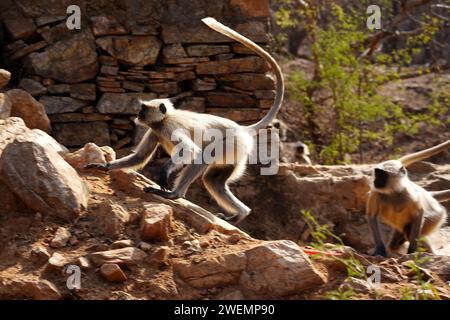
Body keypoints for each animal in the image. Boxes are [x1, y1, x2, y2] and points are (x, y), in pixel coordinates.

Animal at [85, 16, 284, 224]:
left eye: (143, 109)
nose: (138, 114)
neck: (164, 119)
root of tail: (242, 129)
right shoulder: (155, 130)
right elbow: (139, 157)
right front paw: (103, 166)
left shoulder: (169, 128)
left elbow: (190, 150)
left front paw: (165, 172)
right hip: (236, 154)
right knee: (213, 181)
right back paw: (240, 214)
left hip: (232, 144)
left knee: (204, 156)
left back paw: (174, 195)